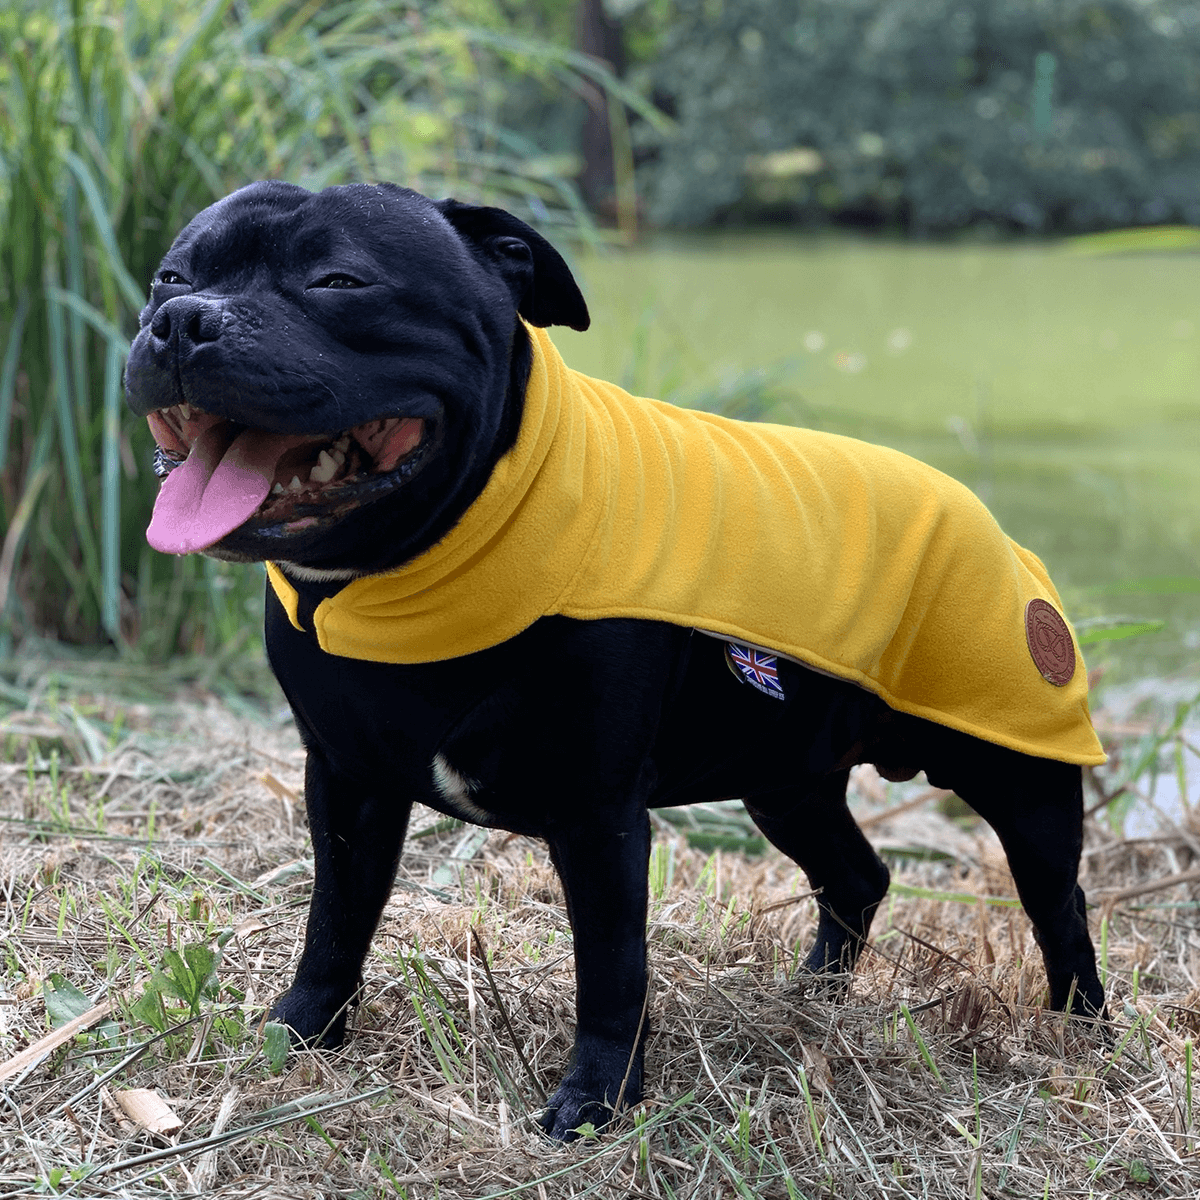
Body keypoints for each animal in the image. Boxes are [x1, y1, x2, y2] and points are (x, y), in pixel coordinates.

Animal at [129, 182, 1104, 1137]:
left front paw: (596, 1099)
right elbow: (336, 919)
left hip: (1021, 779)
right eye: (169, 276)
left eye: (339, 281)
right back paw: (813, 998)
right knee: (856, 875)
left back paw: (1081, 1029)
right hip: (786, 779)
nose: (180, 319)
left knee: (1058, 904)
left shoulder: (598, 816)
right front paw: (302, 1031)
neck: (408, 570)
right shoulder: (346, 782)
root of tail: (991, 524)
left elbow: (610, 966)